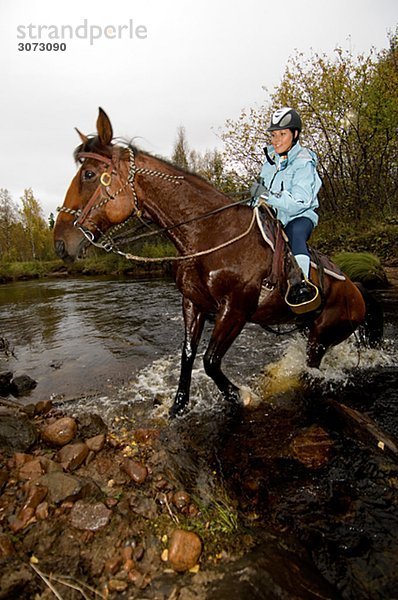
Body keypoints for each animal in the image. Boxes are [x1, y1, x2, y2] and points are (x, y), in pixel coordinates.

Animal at [52, 108, 382, 418]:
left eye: (89, 175)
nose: (60, 243)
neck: (208, 233)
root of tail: (356, 291)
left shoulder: (234, 310)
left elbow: (210, 361)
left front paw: (241, 396)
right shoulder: (193, 303)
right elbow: (188, 354)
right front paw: (178, 407)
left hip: (321, 337)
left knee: (311, 366)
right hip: (305, 326)